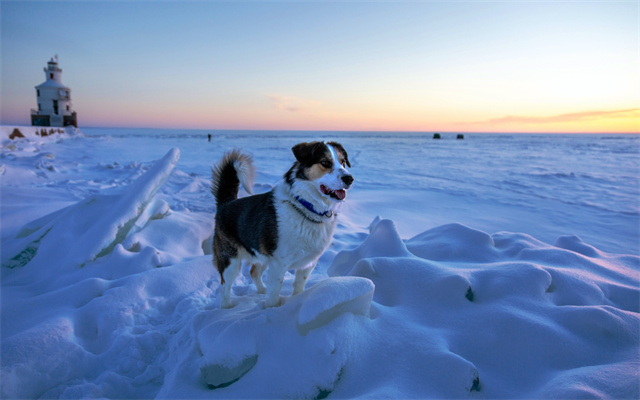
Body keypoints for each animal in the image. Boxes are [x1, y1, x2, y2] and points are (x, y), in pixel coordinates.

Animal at [210, 142, 352, 308]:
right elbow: (274, 291)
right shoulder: (278, 263)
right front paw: (272, 309)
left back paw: (261, 292)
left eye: (343, 162)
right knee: (225, 286)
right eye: (325, 163)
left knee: (254, 272)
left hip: (263, 253)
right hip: (230, 260)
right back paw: (227, 308)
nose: (349, 178)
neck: (305, 207)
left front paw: (297, 301)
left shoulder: (308, 263)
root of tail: (226, 203)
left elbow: (299, 285)